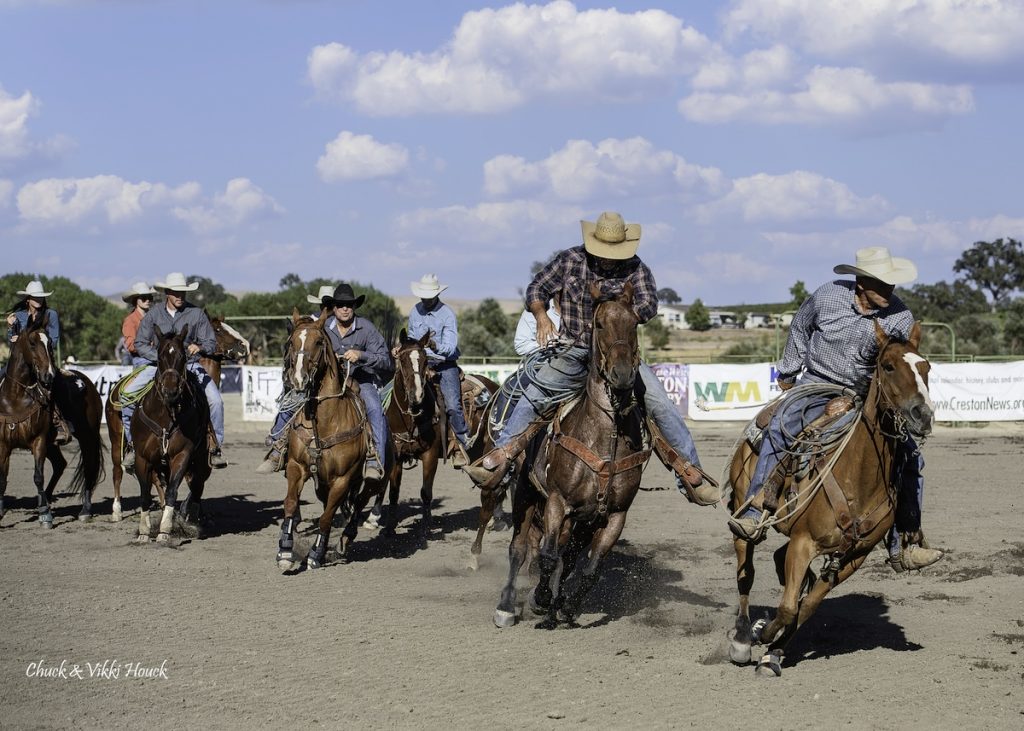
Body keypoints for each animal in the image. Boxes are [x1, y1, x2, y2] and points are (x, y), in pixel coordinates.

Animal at [0, 313, 102, 524]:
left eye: (50, 344)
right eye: (32, 343)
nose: (49, 375)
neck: (15, 399)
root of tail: (88, 384)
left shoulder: (38, 440)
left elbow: (38, 475)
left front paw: (45, 514)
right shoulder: (4, 444)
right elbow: (3, 478)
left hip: (88, 435)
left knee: (89, 467)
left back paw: (85, 510)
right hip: (53, 443)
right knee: (60, 464)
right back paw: (42, 500)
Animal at [131, 325, 212, 540]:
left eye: (183, 356)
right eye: (159, 356)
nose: (170, 391)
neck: (165, 416)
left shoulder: (182, 455)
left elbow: (172, 492)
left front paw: (165, 530)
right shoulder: (142, 458)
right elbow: (144, 494)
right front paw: (144, 531)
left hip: (201, 459)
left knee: (197, 487)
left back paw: (189, 520)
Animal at [276, 311, 368, 573]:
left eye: (318, 342)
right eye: (291, 342)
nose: (298, 379)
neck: (325, 422)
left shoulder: (342, 479)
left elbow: (327, 516)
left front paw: (315, 555)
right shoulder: (296, 466)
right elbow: (290, 503)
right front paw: (285, 550)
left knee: (358, 502)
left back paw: (344, 539)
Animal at [489, 282, 647, 626]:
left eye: (634, 323)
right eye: (598, 324)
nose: (622, 374)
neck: (605, 439)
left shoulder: (613, 515)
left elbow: (587, 569)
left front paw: (565, 606)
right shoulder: (557, 502)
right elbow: (547, 556)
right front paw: (541, 599)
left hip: (579, 520)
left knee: (565, 554)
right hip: (526, 494)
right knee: (519, 549)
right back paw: (506, 606)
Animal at [724, 321, 933, 675]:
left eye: (926, 368)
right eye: (888, 366)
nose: (923, 415)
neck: (858, 475)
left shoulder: (853, 557)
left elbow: (805, 607)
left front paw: (773, 653)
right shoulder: (803, 542)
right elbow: (788, 607)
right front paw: (761, 633)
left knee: (780, 564)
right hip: (745, 506)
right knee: (745, 570)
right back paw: (741, 637)